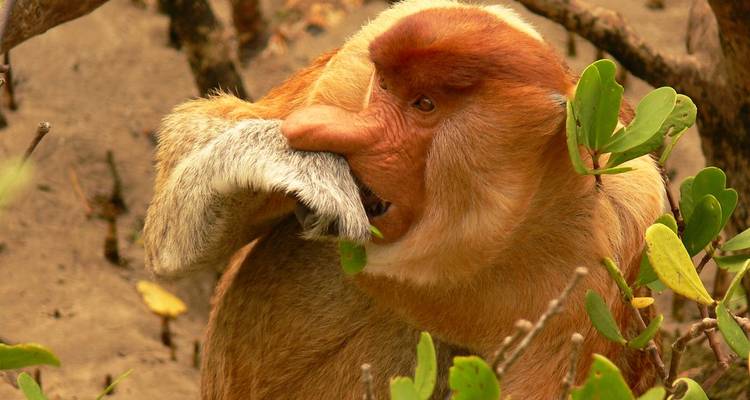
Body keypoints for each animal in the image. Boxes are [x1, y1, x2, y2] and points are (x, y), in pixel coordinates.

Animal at [143, 1, 665, 399]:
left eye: (424, 105)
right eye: (386, 87)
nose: (325, 129)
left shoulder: (610, 256)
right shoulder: (358, 61)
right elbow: (177, 205)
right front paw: (301, 163)